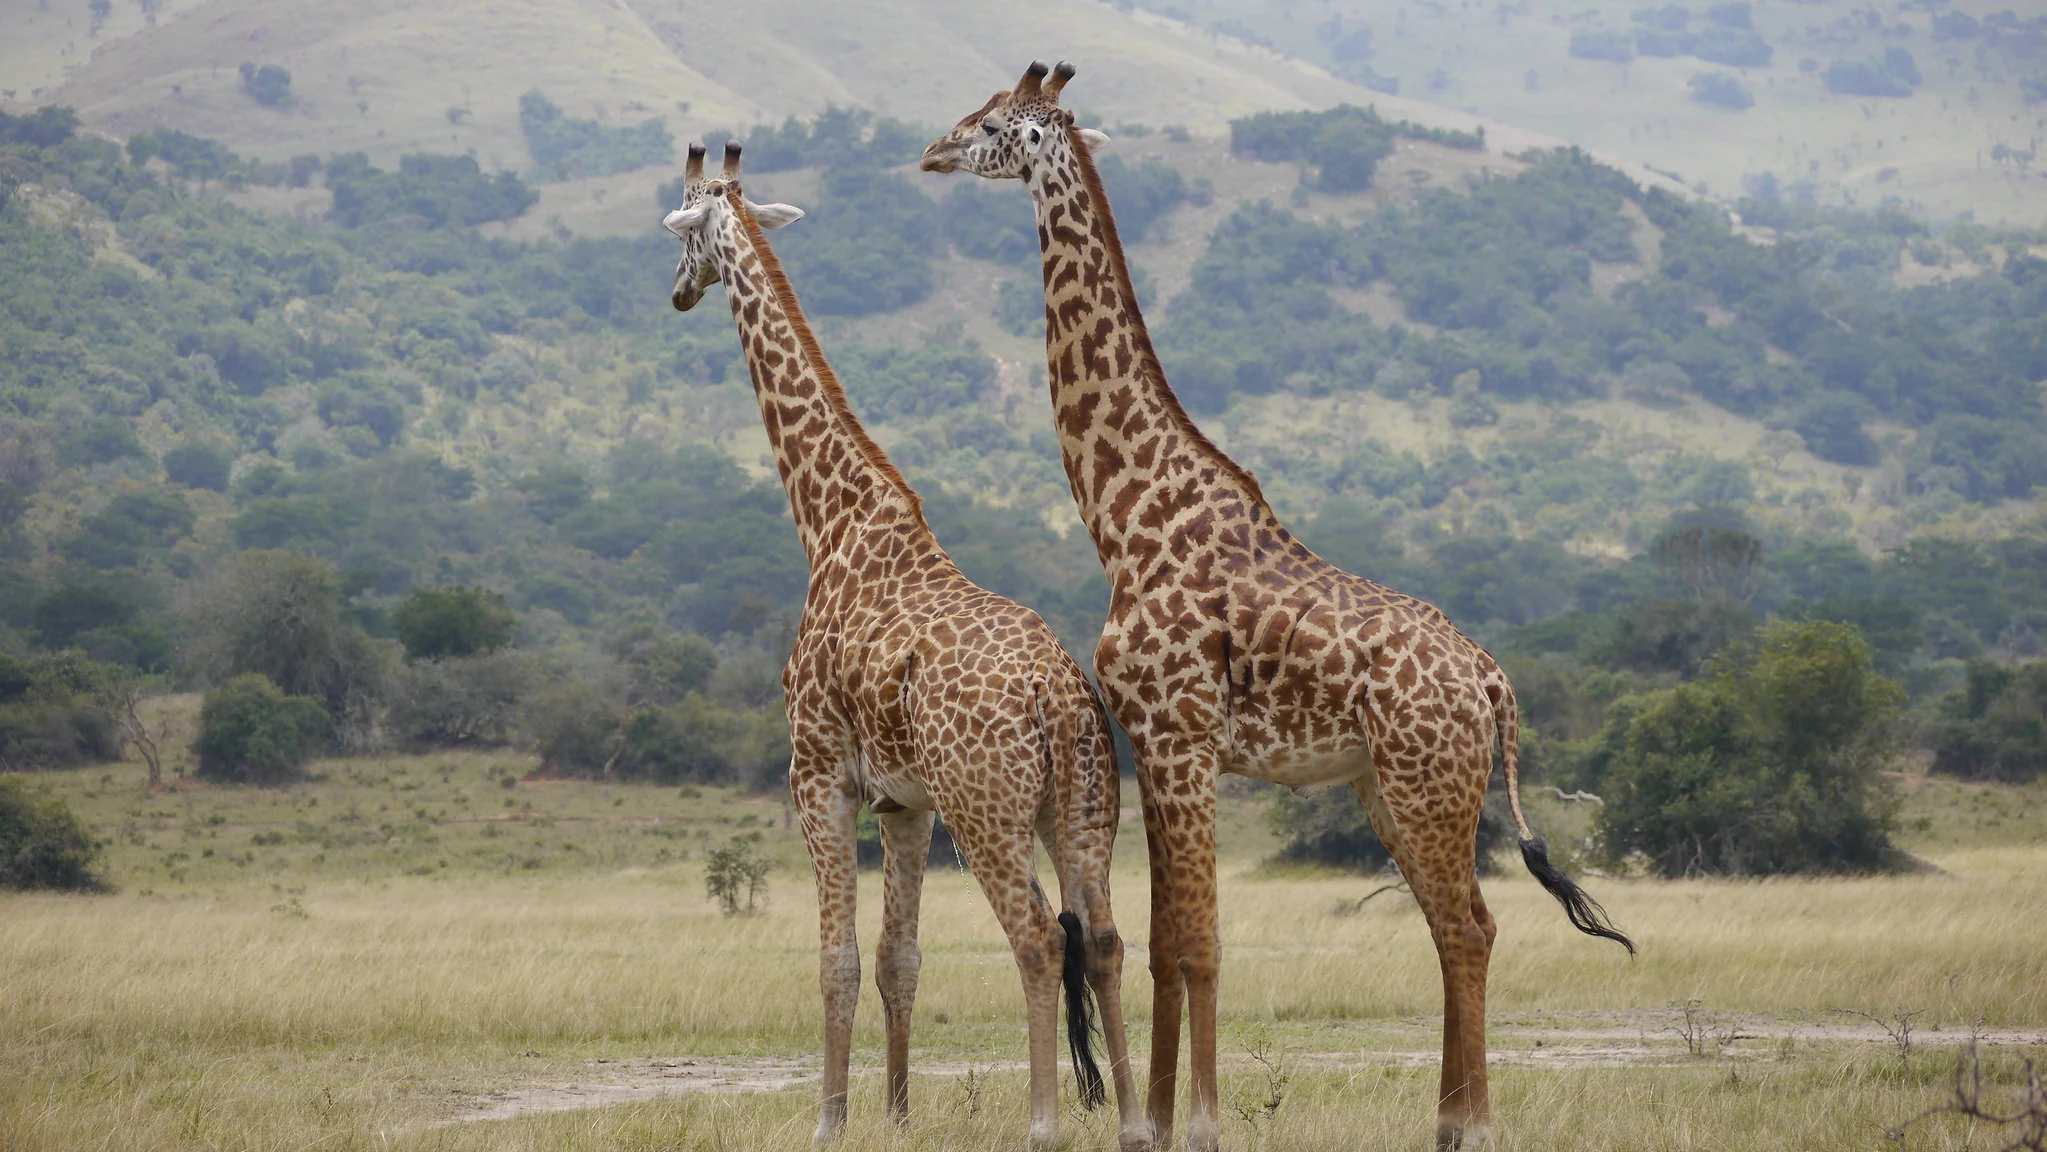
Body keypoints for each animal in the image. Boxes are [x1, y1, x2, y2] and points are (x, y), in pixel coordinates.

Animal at [662, 140, 1153, 1152]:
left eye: (682, 222)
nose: (679, 293)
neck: (830, 522)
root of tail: (1056, 695)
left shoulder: (818, 775)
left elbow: (837, 959)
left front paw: (829, 1123)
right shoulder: (904, 804)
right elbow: (901, 955)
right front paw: (893, 1113)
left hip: (987, 808)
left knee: (1039, 939)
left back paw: (1044, 1123)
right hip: (1082, 807)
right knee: (1106, 939)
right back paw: (1131, 1122)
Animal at [922, 63, 1635, 1151]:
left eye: (995, 124)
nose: (931, 151)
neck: (1124, 517)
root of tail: (1491, 681)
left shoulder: (1179, 739)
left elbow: (1200, 944)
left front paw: (1200, 1124)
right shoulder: (1155, 745)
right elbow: (1167, 941)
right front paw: (1160, 1118)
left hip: (1426, 787)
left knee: (1468, 927)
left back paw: (1471, 1128)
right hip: (1389, 788)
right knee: (1457, 926)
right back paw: (1445, 1122)